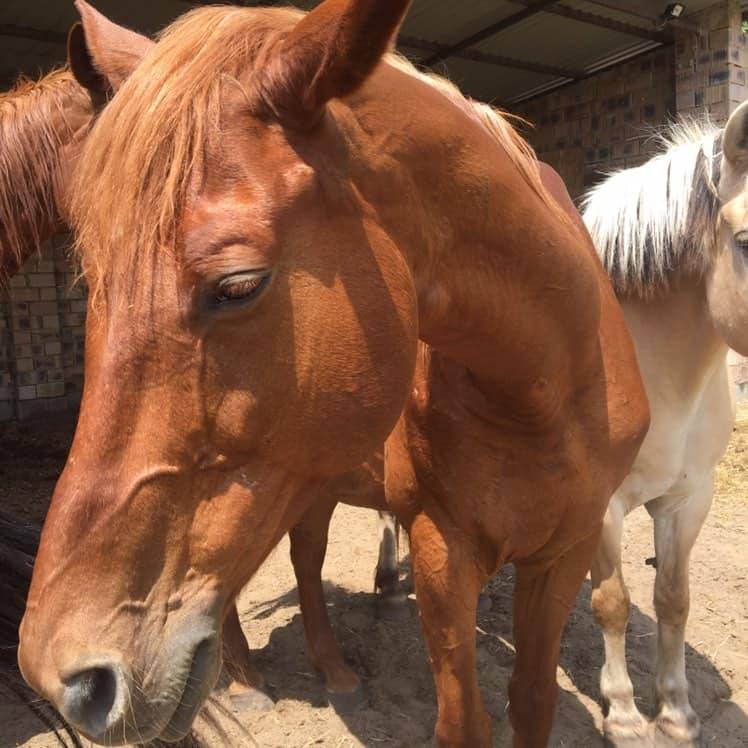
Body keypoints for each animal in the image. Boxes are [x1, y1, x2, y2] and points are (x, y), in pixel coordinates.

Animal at [19, 2, 648, 747]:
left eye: (237, 286)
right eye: (92, 281)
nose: (66, 676)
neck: (542, 392)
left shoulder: (565, 552)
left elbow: (533, 700)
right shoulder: (442, 548)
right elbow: (465, 720)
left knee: (306, 560)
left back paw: (335, 669)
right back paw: (249, 680)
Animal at [583, 115, 748, 744]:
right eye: (744, 240)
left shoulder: (689, 498)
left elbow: (673, 599)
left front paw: (676, 711)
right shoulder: (601, 503)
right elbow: (613, 602)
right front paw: (626, 715)